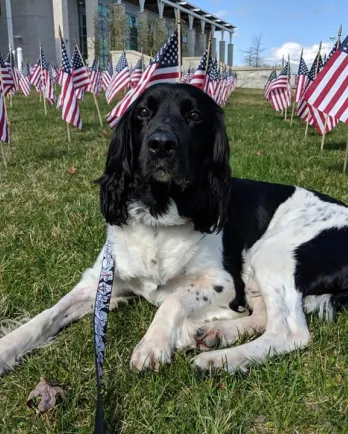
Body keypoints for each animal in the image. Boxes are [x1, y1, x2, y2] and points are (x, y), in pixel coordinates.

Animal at [0, 83, 348, 374]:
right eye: (143, 112)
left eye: (194, 115)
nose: (162, 145)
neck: (159, 215)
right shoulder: (97, 281)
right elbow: (47, 315)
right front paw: (7, 348)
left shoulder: (223, 282)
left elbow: (174, 299)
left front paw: (152, 344)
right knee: (263, 316)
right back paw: (214, 333)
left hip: (270, 252)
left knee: (289, 332)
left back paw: (219, 359)